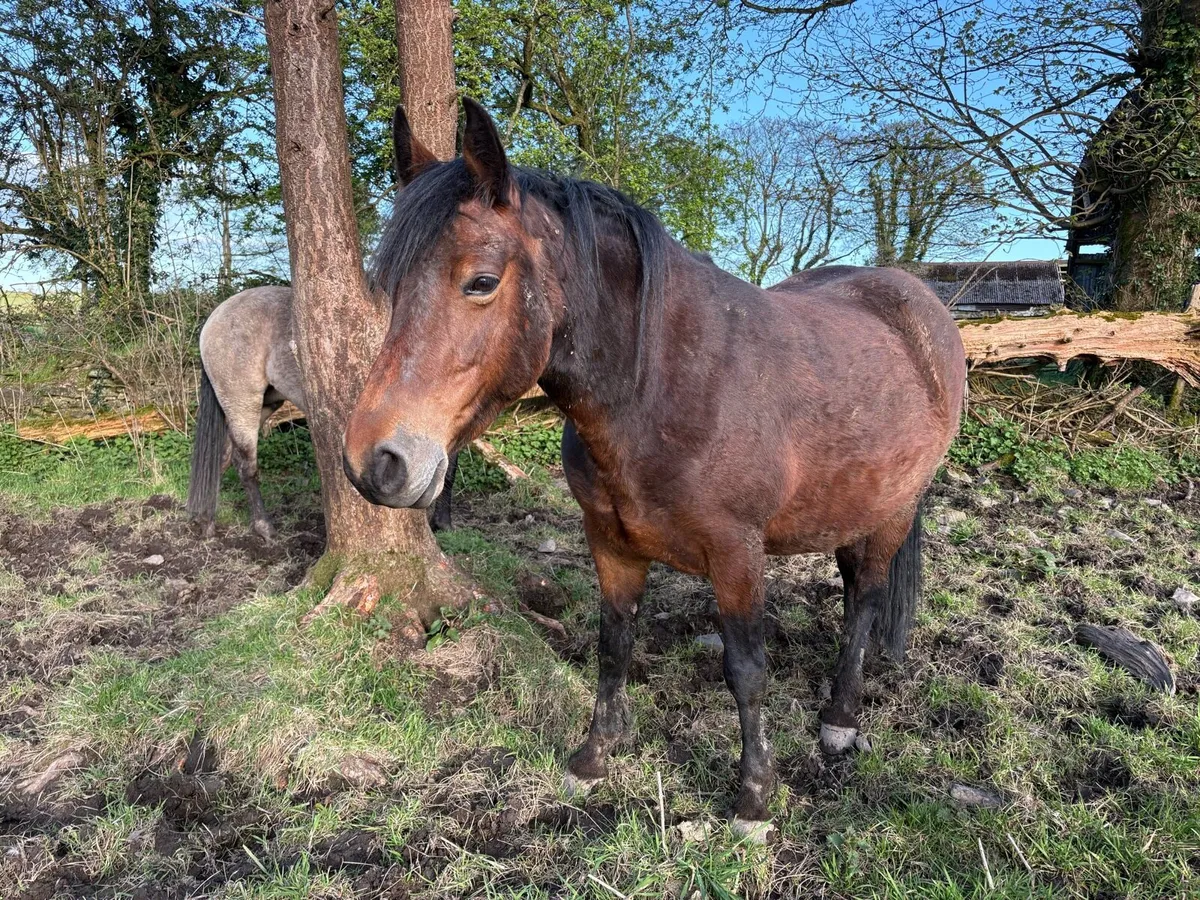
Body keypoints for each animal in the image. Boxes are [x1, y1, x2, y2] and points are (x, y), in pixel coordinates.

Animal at [185, 285, 458, 540]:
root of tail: (215, 317)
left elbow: (447, 471)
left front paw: (443, 521)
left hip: (263, 404)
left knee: (223, 457)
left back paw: (205, 520)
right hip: (243, 403)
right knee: (246, 465)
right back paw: (264, 528)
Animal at [341, 99, 967, 838]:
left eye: (482, 282)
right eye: (390, 286)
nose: (375, 462)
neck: (661, 387)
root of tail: (918, 304)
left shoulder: (736, 553)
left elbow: (746, 670)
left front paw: (753, 799)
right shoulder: (610, 542)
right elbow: (614, 643)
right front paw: (593, 757)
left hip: (896, 509)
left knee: (867, 599)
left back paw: (840, 720)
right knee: (850, 594)